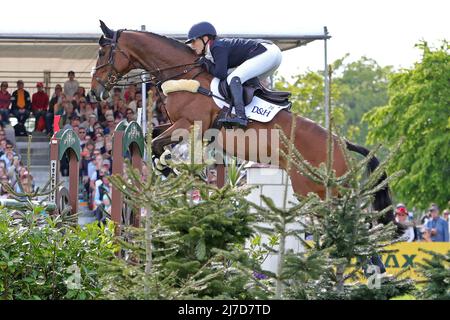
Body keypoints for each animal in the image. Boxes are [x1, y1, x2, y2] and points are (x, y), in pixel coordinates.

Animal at [90, 20, 394, 225]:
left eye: (103, 54)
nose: (95, 92)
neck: (185, 74)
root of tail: (341, 144)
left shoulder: (191, 124)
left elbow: (155, 142)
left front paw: (171, 167)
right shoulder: (178, 125)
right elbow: (154, 135)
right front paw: (169, 167)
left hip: (319, 192)